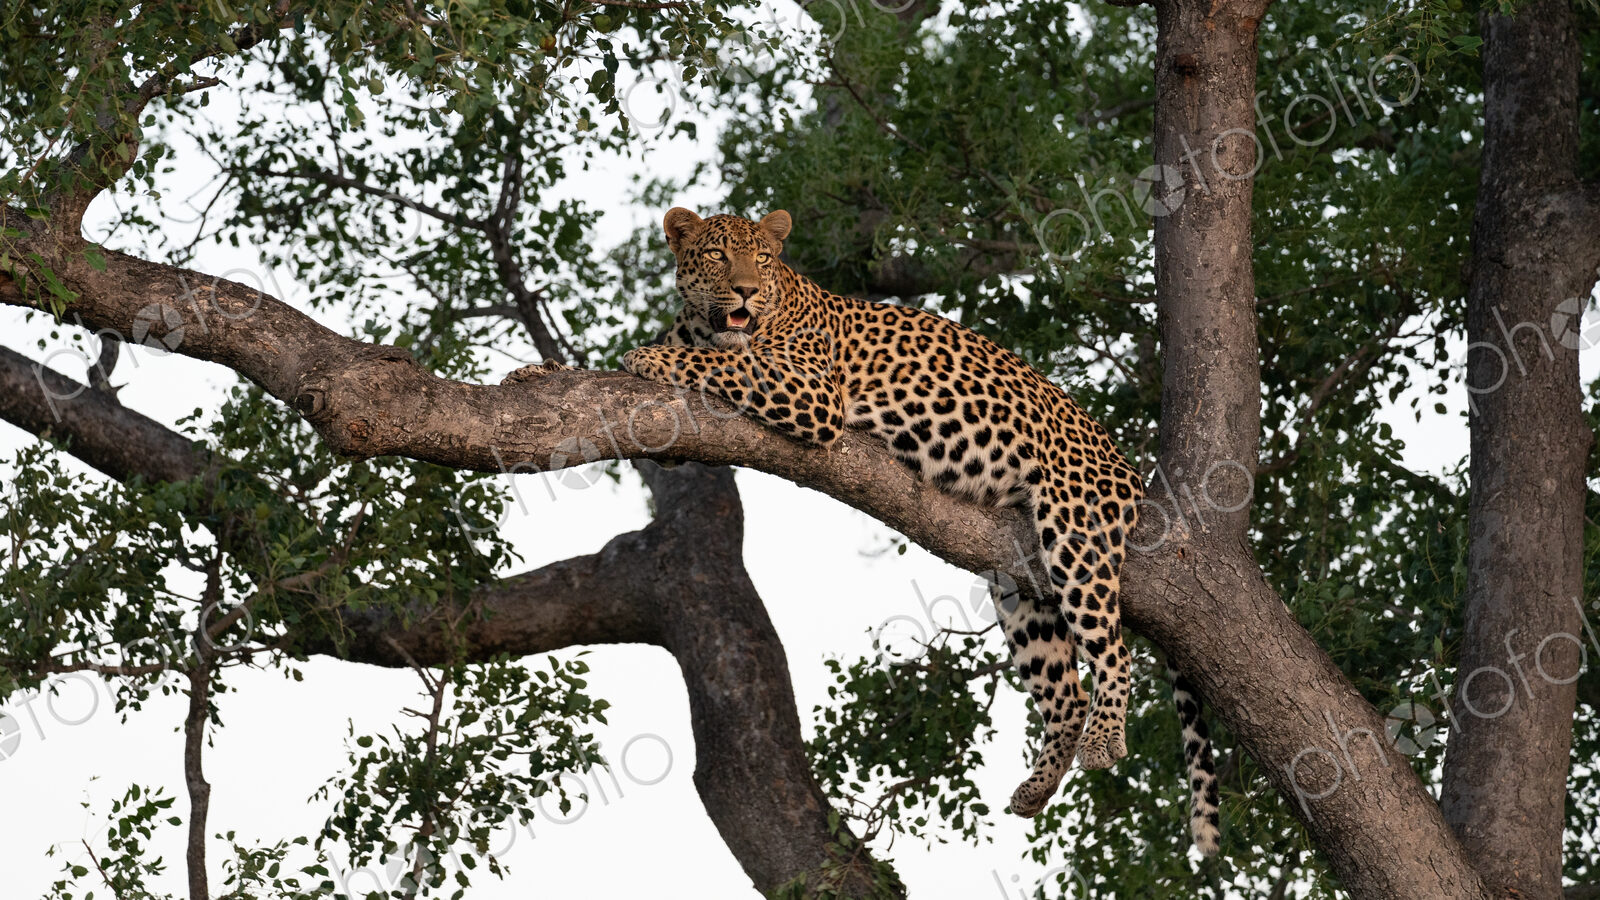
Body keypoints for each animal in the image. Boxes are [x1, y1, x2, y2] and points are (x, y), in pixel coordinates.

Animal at [505, 207, 1221, 854]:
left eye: (759, 259)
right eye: (716, 255)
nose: (745, 291)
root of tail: (1124, 465)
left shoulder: (809, 390)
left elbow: (727, 366)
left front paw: (646, 353)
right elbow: (602, 377)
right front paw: (533, 374)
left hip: (1075, 530)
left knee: (1113, 649)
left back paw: (1104, 742)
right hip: (1020, 584)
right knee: (1064, 688)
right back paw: (1036, 789)